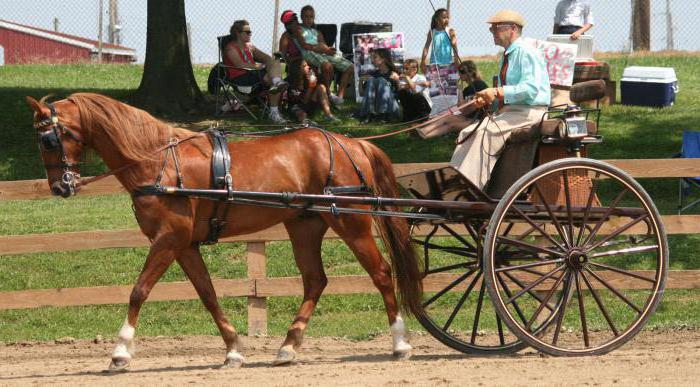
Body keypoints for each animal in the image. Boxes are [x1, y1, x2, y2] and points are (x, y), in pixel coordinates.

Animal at [26, 93, 422, 370]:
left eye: (49, 140)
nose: (60, 187)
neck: (156, 162)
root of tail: (353, 143)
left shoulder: (168, 239)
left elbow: (139, 291)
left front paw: (121, 351)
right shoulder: (184, 245)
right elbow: (208, 294)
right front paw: (233, 350)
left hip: (351, 223)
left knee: (381, 273)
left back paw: (400, 343)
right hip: (304, 226)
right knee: (315, 280)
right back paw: (287, 347)